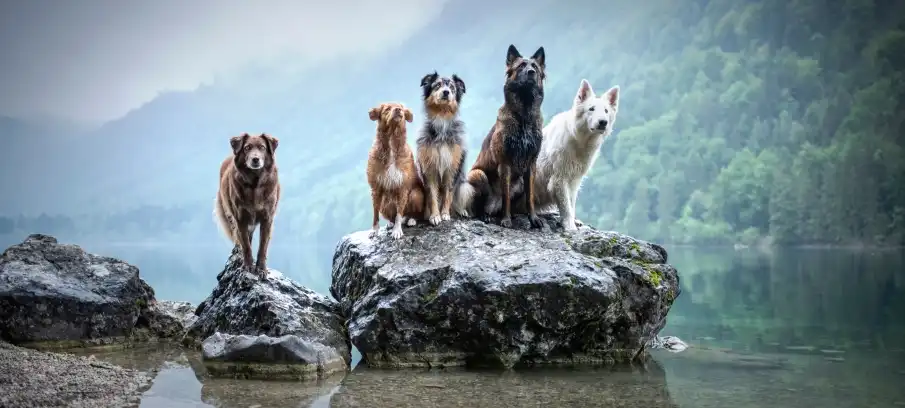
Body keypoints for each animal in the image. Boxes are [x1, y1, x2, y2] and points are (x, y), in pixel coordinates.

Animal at [215, 132, 280, 278]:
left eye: (262, 147)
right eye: (247, 148)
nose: (255, 159)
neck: (255, 184)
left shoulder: (267, 219)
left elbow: (263, 246)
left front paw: (261, 268)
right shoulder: (241, 219)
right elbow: (246, 245)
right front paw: (248, 266)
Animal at [366, 102, 422, 241]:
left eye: (401, 108)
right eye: (387, 109)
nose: (398, 110)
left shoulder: (403, 186)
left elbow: (399, 214)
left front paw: (397, 231)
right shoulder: (375, 188)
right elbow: (375, 213)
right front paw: (374, 230)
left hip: (416, 194)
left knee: (408, 214)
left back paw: (411, 220)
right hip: (385, 202)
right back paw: (390, 223)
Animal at [414, 71, 474, 225]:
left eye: (452, 87)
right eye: (438, 85)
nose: (446, 92)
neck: (442, 117)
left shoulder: (452, 167)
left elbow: (448, 193)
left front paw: (445, 214)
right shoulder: (429, 168)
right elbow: (432, 195)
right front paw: (435, 216)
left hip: (464, 186)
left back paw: (461, 211)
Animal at [466, 45, 544, 230]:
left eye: (535, 67)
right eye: (521, 66)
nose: (531, 72)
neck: (523, 116)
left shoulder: (531, 165)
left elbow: (530, 197)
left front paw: (533, 218)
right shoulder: (505, 163)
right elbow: (506, 196)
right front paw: (506, 220)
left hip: (521, 181)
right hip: (478, 175)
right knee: (482, 206)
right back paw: (486, 216)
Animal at [532, 78, 616, 231]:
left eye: (606, 111)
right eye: (591, 109)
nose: (603, 122)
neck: (579, 141)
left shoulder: (574, 179)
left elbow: (571, 203)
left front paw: (574, 221)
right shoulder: (559, 179)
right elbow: (566, 206)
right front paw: (570, 226)